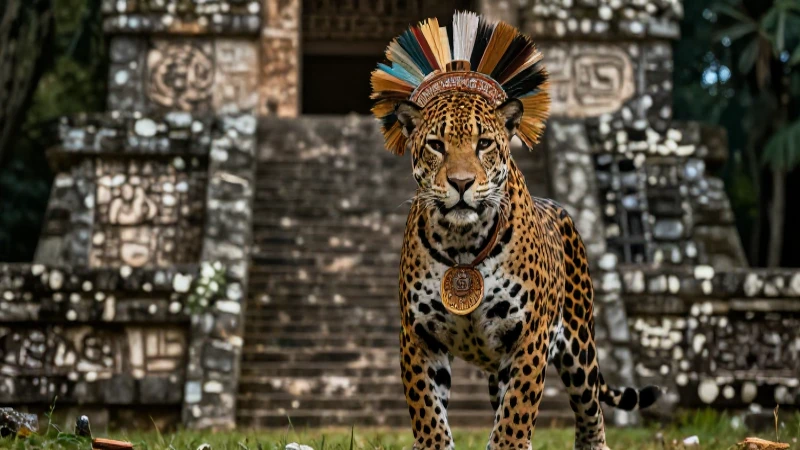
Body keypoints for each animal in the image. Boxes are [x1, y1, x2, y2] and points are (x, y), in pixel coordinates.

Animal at [392, 92, 660, 450]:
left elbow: (517, 410)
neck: (462, 241)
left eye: (484, 144)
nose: (461, 183)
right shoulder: (418, 335)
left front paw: (510, 442)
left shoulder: (528, 334)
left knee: (592, 410)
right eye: (436, 145)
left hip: (579, 350)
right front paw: (433, 442)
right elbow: (427, 409)